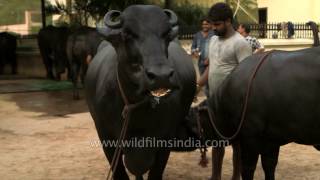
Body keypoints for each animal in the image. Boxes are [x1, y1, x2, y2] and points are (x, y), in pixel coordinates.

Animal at [85, 4, 195, 179]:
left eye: (166, 34)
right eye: (127, 34)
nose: (161, 76)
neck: (136, 107)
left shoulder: (165, 141)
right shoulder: (106, 138)